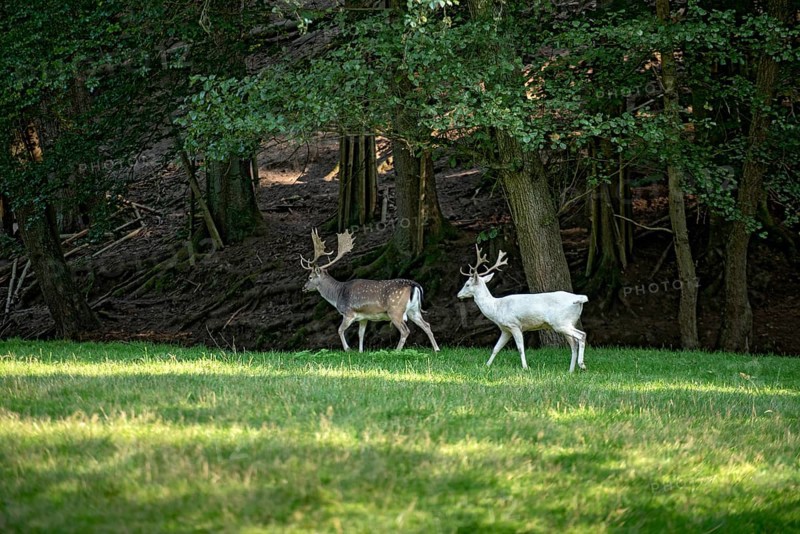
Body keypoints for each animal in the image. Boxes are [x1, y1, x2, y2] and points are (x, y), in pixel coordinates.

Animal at [300, 229, 440, 353]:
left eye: (310, 277)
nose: (304, 288)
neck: (338, 295)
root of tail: (415, 285)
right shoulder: (363, 317)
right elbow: (360, 334)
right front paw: (361, 352)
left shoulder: (348, 312)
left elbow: (340, 330)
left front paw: (348, 349)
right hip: (414, 310)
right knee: (427, 325)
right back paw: (436, 349)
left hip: (395, 310)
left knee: (405, 331)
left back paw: (396, 351)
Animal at [457, 245, 588, 372]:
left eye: (467, 284)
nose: (458, 295)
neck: (496, 308)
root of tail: (579, 298)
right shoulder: (505, 329)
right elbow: (496, 348)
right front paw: (486, 366)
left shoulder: (514, 325)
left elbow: (520, 348)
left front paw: (525, 367)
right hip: (567, 323)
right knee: (574, 344)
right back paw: (570, 371)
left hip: (560, 322)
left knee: (582, 335)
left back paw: (582, 365)